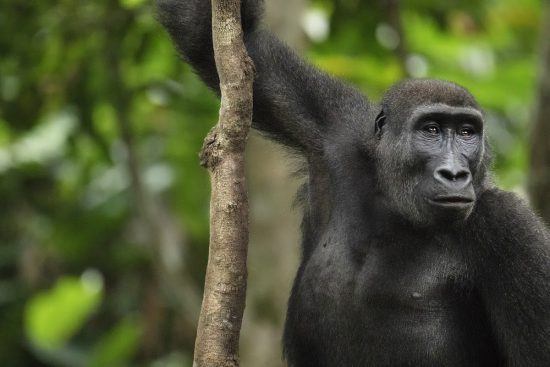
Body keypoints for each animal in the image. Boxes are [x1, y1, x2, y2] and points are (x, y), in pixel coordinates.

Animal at [156, 1, 550, 366]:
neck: (393, 201)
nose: (455, 174)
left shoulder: (510, 227)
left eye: (467, 133)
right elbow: (212, 36)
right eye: (432, 129)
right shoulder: (336, 130)